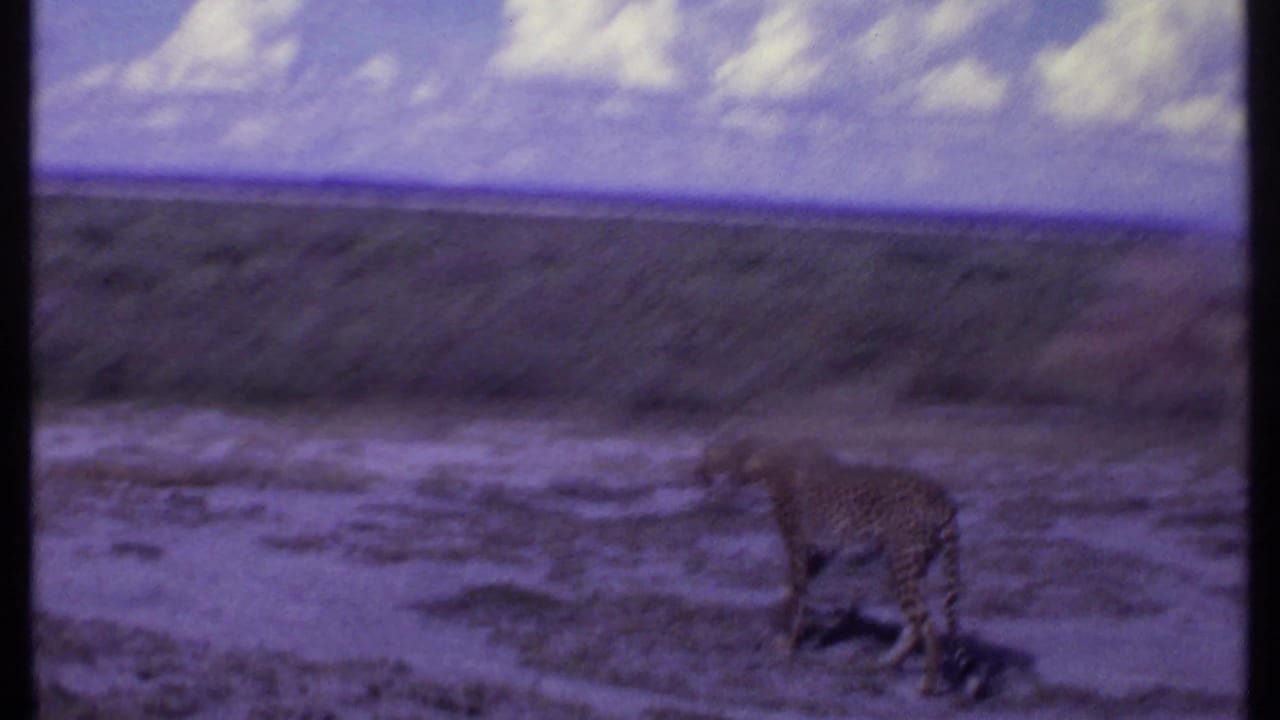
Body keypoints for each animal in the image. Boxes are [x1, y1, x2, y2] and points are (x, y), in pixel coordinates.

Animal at [695, 435, 963, 696]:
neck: (761, 459)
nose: (699, 473)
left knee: (926, 625)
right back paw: (883, 664)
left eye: (709, 456)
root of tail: (940, 495)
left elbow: (798, 592)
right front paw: (783, 626)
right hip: (913, 563)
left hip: (901, 563)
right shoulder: (820, 551)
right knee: (914, 622)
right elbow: (795, 590)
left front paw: (787, 643)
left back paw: (926, 685)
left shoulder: (798, 546)